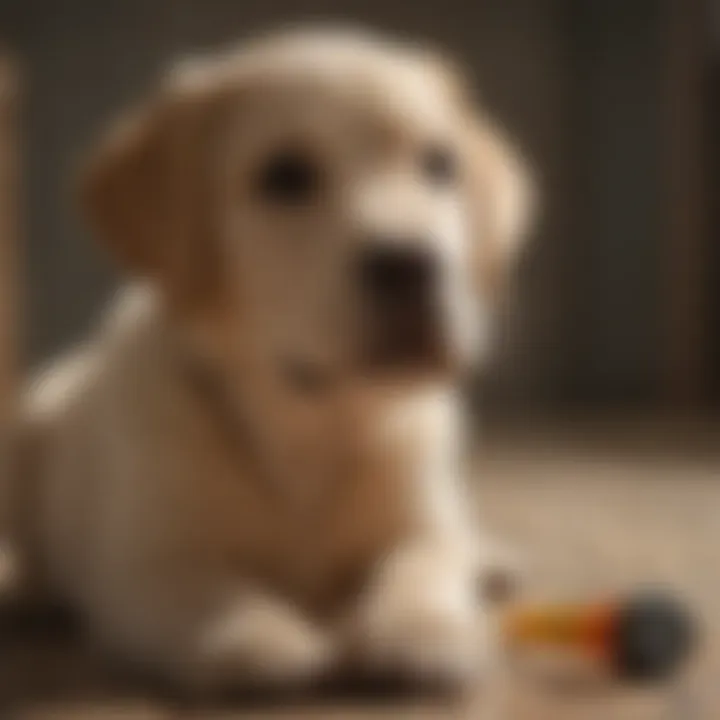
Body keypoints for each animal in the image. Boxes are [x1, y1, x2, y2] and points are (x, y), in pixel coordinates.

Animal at [4, 26, 536, 692]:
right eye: (284, 177)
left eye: (440, 164)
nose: (411, 264)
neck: (310, 421)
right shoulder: (142, 562)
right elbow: (210, 592)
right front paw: (257, 637)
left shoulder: (422, 515)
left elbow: (422, 562)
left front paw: (421, 628)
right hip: (30, 428)